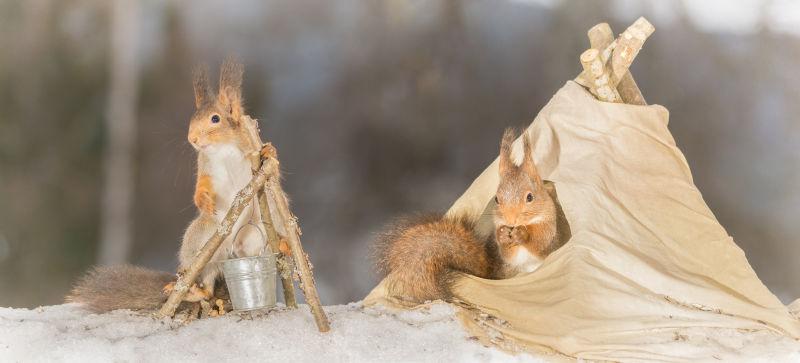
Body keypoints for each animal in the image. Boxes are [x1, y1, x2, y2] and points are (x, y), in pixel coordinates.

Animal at [65, 59, 278, 312]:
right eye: (192, 118)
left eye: (215, 119)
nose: (191, 139)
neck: (223, 149)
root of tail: (229, 252)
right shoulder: (207, 166)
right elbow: (201, 185)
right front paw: (204, 200)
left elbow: (271, 172)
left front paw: (269, 152)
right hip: (202, 240)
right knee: (206, 281)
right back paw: (194, 291)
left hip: (255, 236)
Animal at [374, 128, 564, 304]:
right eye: (497, 199)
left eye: (530, 197)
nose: (510, 221)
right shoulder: (505, 258)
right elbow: (507, 253)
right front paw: (503, 235)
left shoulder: (551, 232)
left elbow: (541, 245)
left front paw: (522, 234)